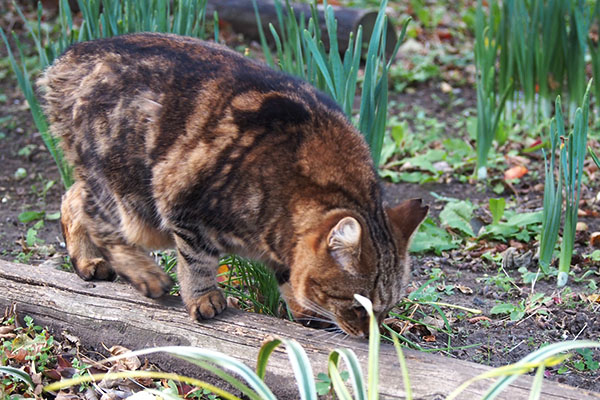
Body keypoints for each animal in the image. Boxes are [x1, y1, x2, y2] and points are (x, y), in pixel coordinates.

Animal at [38, 32, 426, 336]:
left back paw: (87, 261)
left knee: (71, 197)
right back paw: (145, 274)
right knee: (95, 215)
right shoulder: (183, 206)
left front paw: (305, 310)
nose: (368, 335)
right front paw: (204, 298)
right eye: (360, 307)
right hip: (128, 195)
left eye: (386, 309)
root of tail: (71, 54)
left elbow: (290, 276)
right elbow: (197, 262)